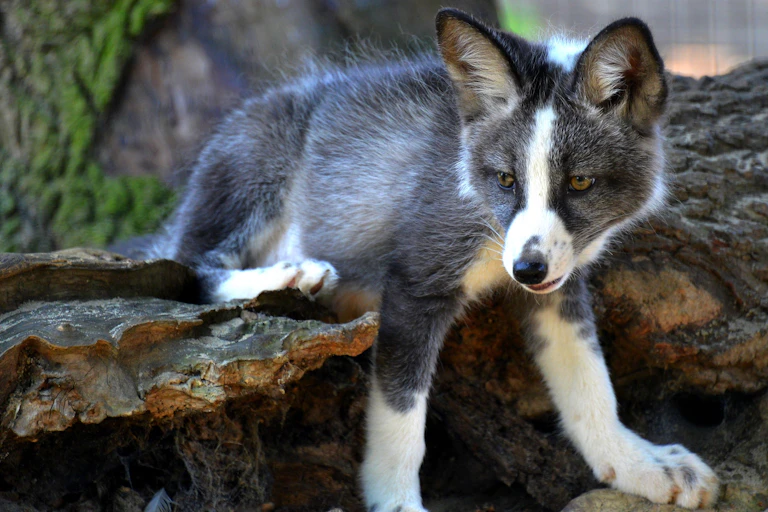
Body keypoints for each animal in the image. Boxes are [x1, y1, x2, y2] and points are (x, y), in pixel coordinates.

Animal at [129, 8, 720, 511]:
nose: (526, 271)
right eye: (506, 179)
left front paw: (636, 462)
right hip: (252, 172)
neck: (479, 211)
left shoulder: (557, 287)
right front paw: (395, 501)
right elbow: (402, 418)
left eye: (579, 183)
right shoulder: (414, 284)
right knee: (189, 267)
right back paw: (293, 274)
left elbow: (590, 382)